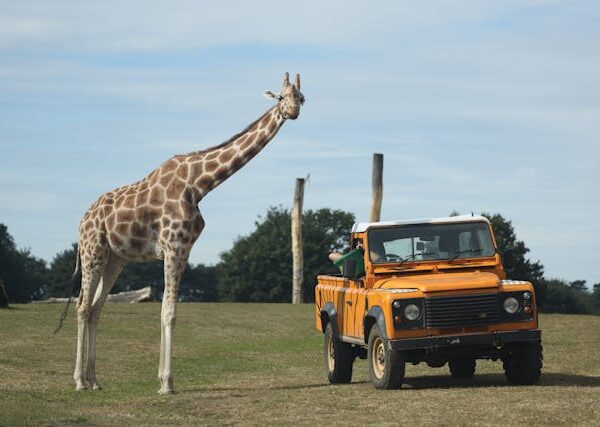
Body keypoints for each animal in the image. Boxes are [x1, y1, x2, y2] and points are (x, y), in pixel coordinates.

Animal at [65, 72, 304, 394]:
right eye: (280, 97)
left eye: (301, 97)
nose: (292, 111)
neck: (200, 185)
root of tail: (82, 219)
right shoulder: (173, 246)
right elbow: (168, 312)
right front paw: (167, 383)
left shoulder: (185, 250)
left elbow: (168, 310)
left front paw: (162, 379)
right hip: (93, 252)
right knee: (81, 307)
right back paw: (79, 380)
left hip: (115, 259)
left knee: (95, 309)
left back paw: (94, 380)